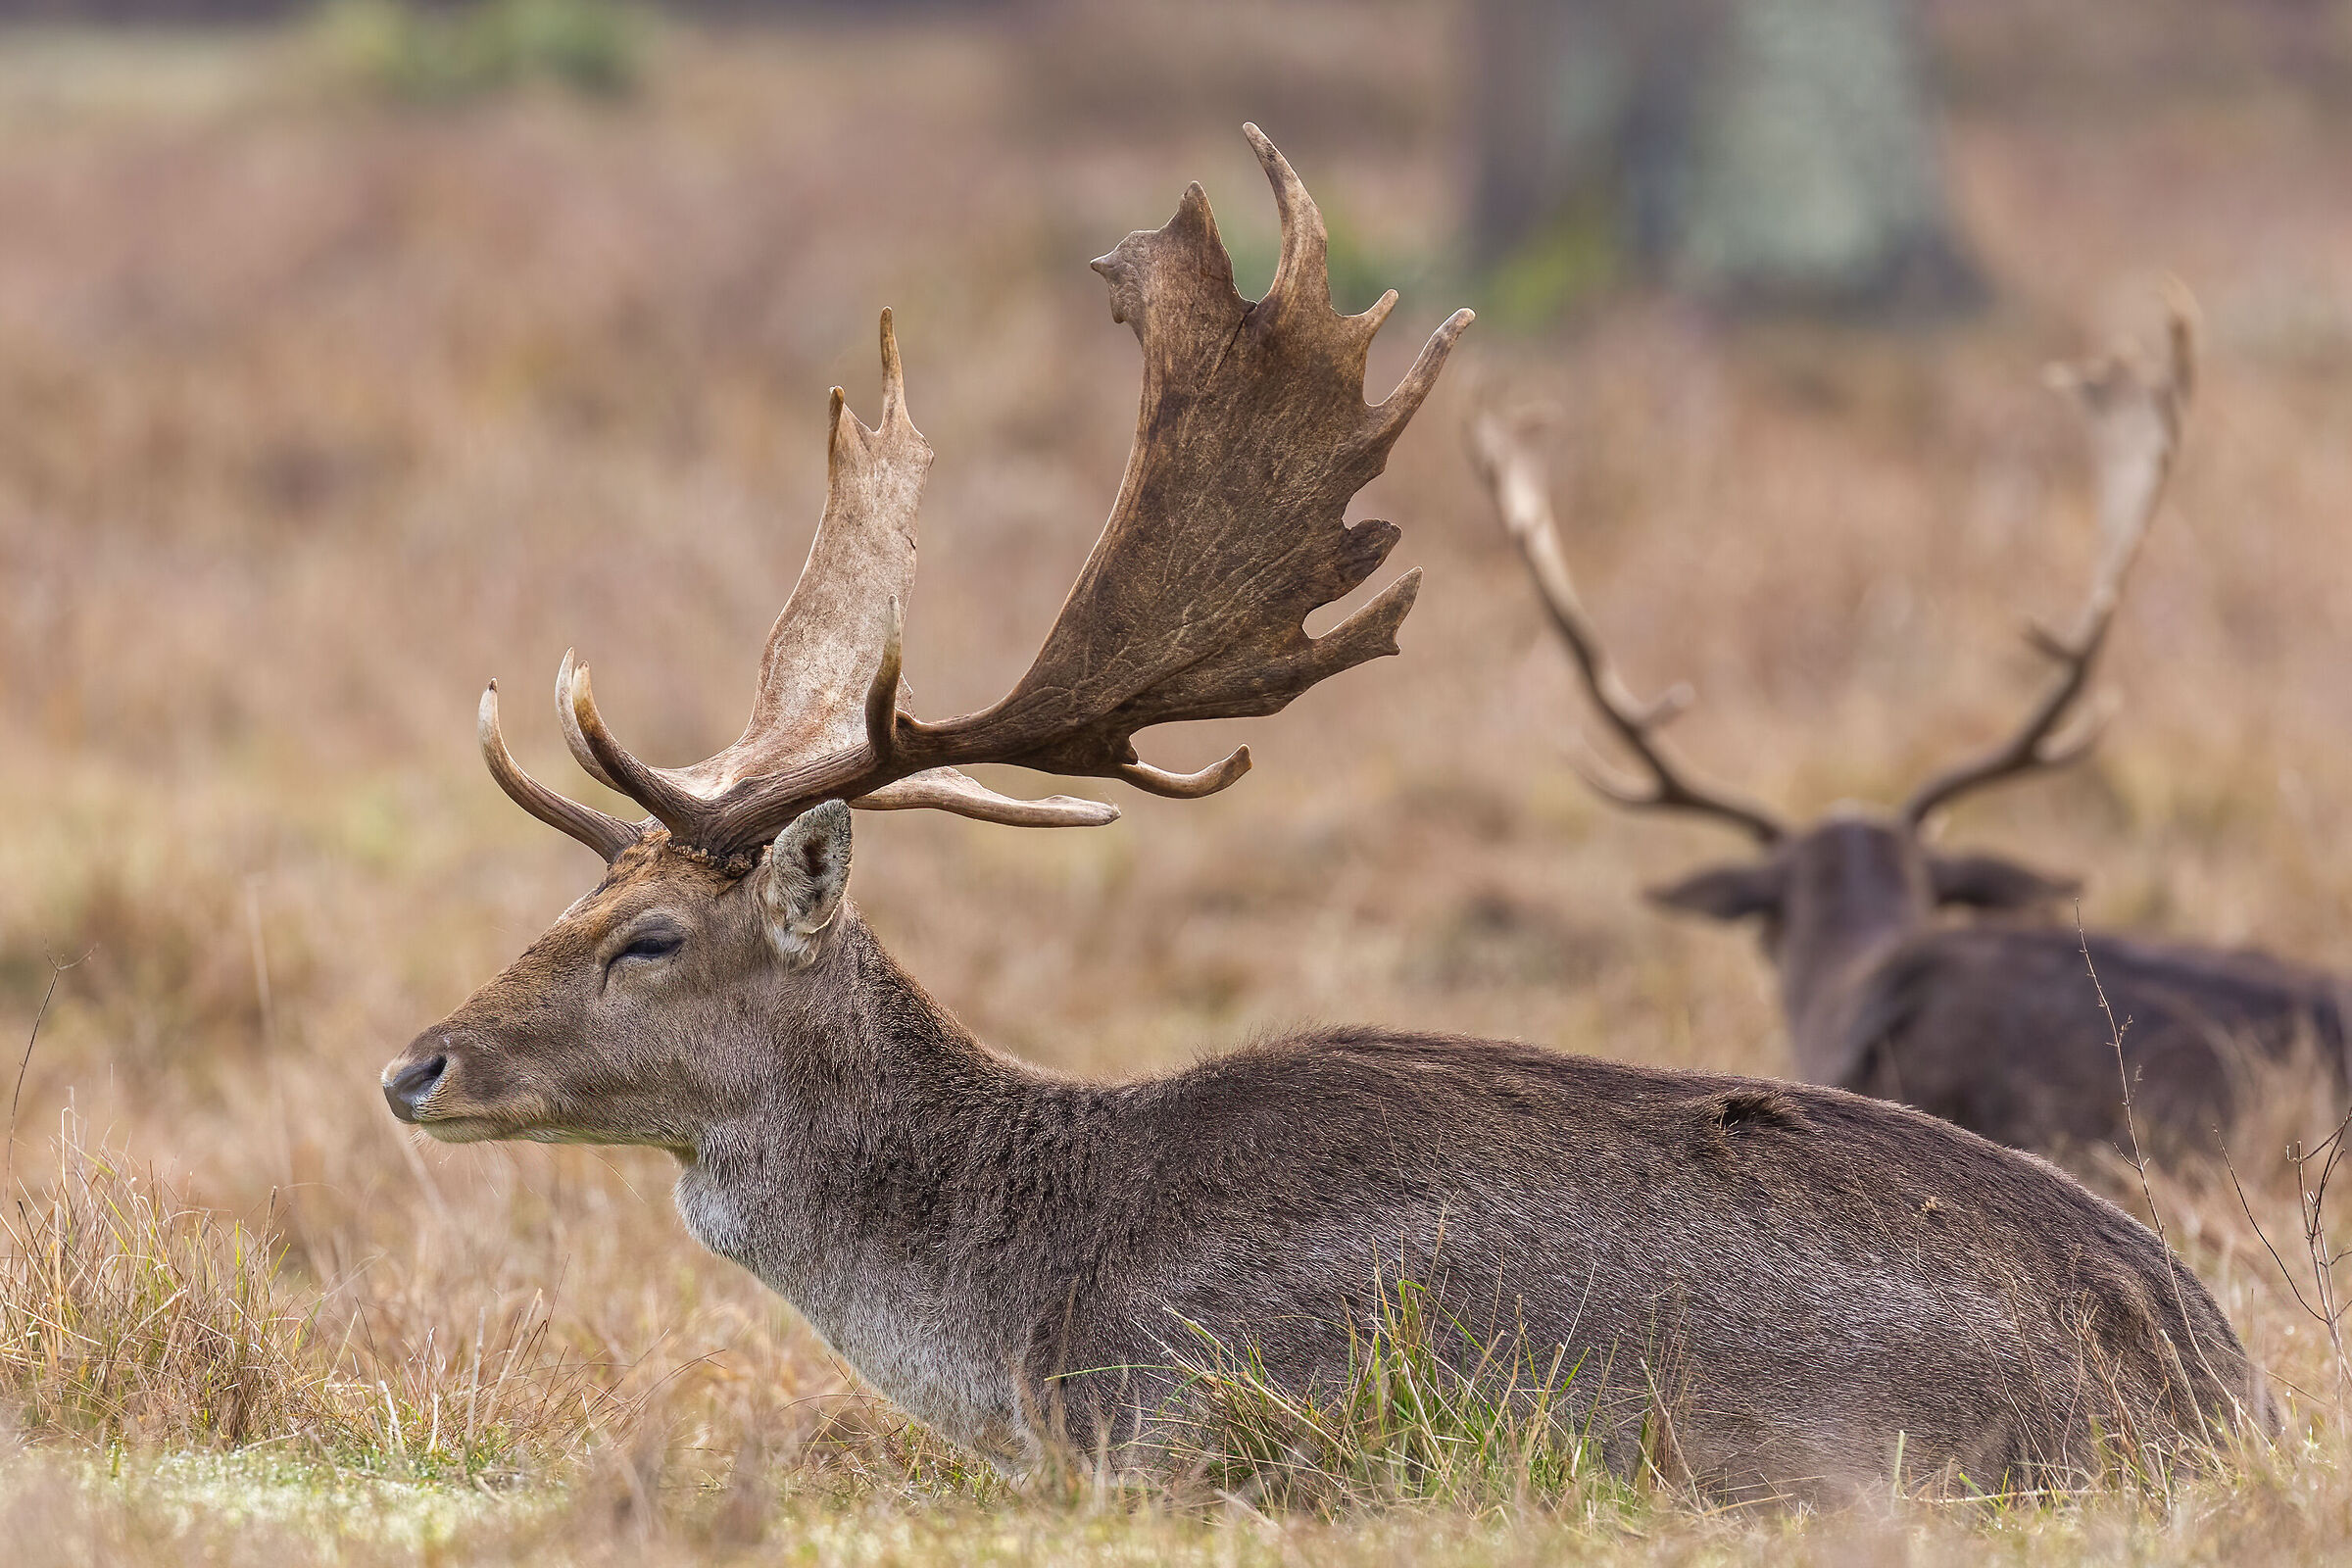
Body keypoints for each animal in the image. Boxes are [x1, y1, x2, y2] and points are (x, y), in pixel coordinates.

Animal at [382, 131, 2259, 1500]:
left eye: (648, 938)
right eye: (574, 899)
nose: (415, 1064)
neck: (1023, 1320)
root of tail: (2219, 1377)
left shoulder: (1200, 1422)